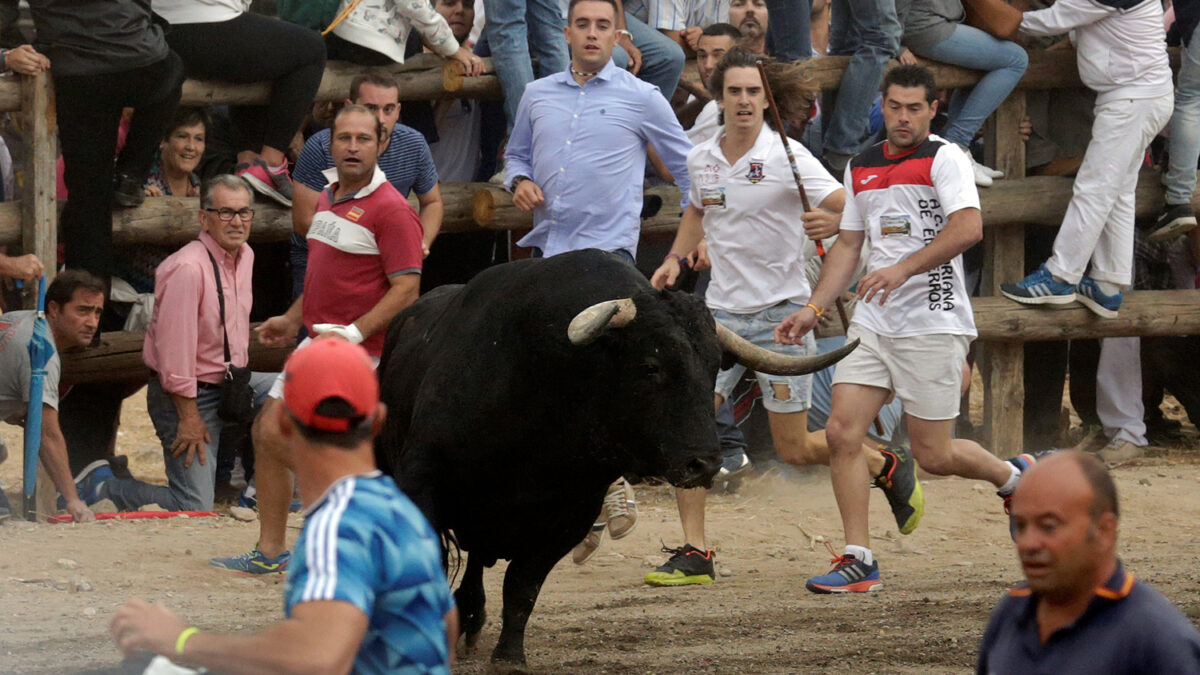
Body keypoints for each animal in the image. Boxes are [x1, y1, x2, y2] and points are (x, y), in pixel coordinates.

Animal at [374, 249, 854, 667]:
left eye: (714, 366)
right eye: (650, 367)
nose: (703, 464)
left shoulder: (569, 518)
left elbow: (522, 587)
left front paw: (509, 657)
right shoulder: (422, 488)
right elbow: (429, 568)